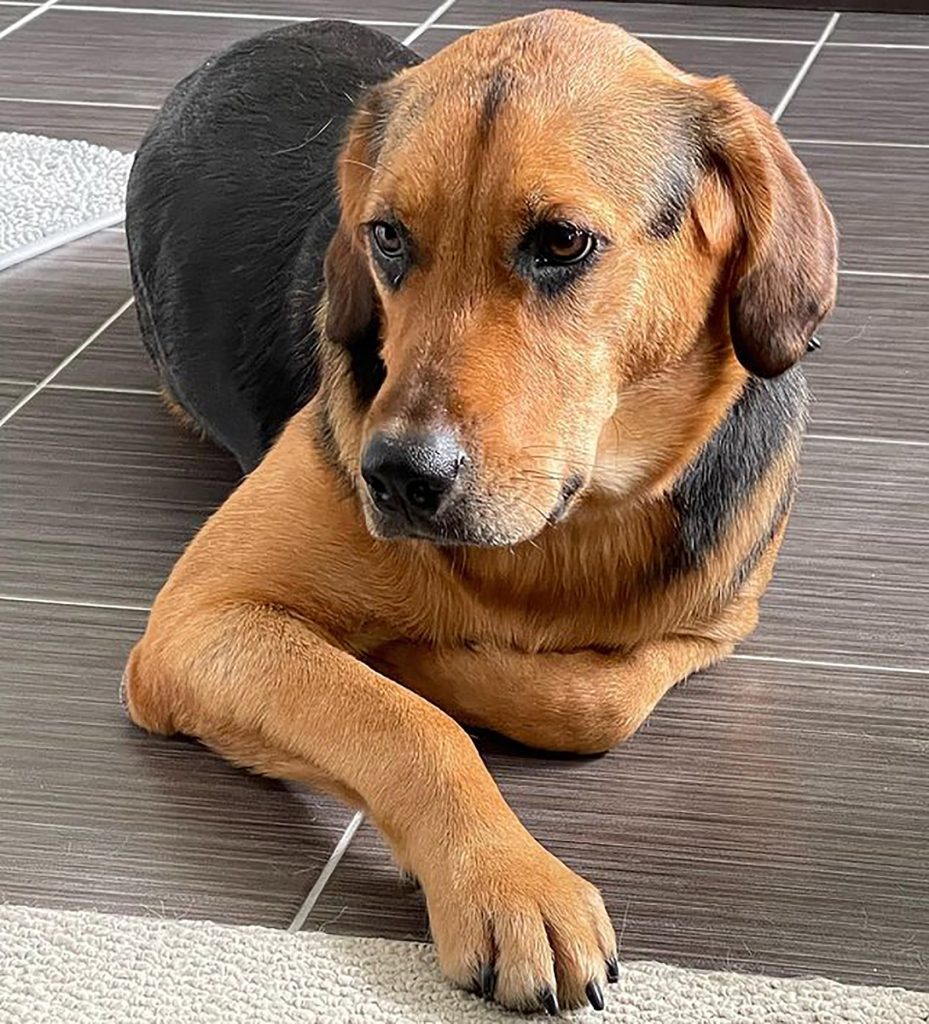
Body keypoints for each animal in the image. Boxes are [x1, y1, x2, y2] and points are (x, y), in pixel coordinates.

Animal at [119, 9, 839, 1015]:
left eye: (563, 243)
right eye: (386, 237)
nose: (395, 477)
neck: (566, 532)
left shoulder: (719, 622)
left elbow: (595, 703)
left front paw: (428, 656)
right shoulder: (196, 622)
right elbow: (411, 724)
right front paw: (507, 879)